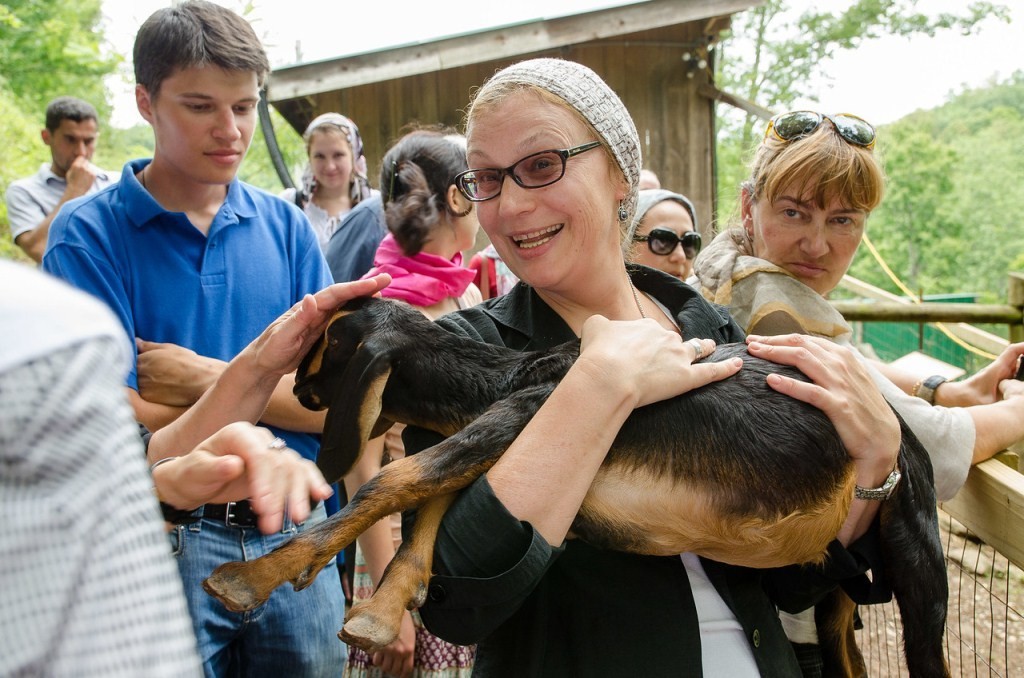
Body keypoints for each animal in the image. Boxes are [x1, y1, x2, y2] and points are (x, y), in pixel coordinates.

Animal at [203, 296, 949, 677]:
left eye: (322, 349)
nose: (293, 388)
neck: (506, 375)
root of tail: (906, 440)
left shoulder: (525, 411)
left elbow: (400, 475)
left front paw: (255, 577)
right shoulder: (508, 436)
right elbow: (433, 502)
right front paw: (384, 609)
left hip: (917, 554)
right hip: (836, 597)